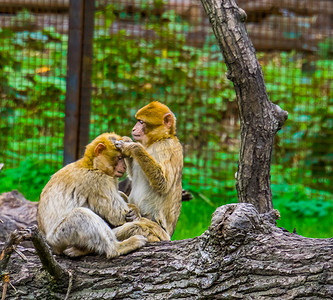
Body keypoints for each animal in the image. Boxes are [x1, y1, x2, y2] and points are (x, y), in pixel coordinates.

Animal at [114, 102, 182, 238]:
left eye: (141, 122)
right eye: (137, 121)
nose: (134, 129)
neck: (159, 139)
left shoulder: (165, 147)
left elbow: (163, 183)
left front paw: (131, 146)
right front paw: (126, 140)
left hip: (160, 230)